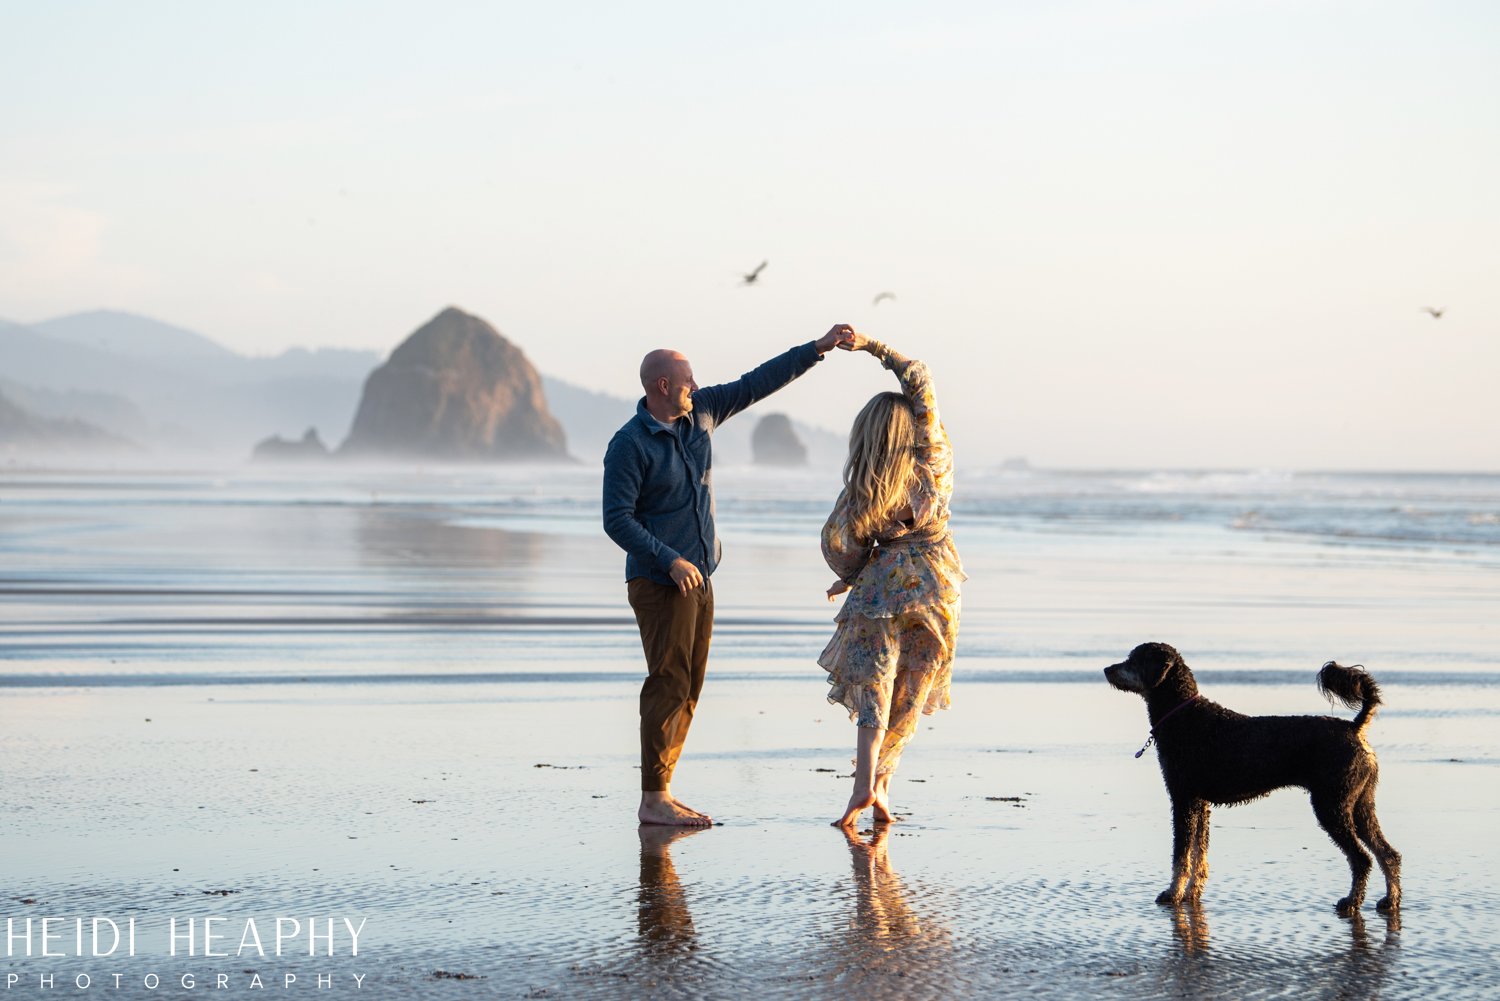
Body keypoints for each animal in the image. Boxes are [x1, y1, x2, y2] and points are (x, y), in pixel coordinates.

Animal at [1110, 642, 1398, 918]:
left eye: (1133, 660)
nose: (1106, 669)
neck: (1186, 717)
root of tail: (1355, 729)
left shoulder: (1183, 799)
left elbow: (1181, 856)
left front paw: (1173, 893)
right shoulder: (1200, 805)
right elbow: (1198, 854)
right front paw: (1193, 892)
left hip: (1332, 805)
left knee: (1361, 859)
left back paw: (1351, 902)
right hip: (1360, 805)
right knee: (1388, 854)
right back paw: (1390, 900)